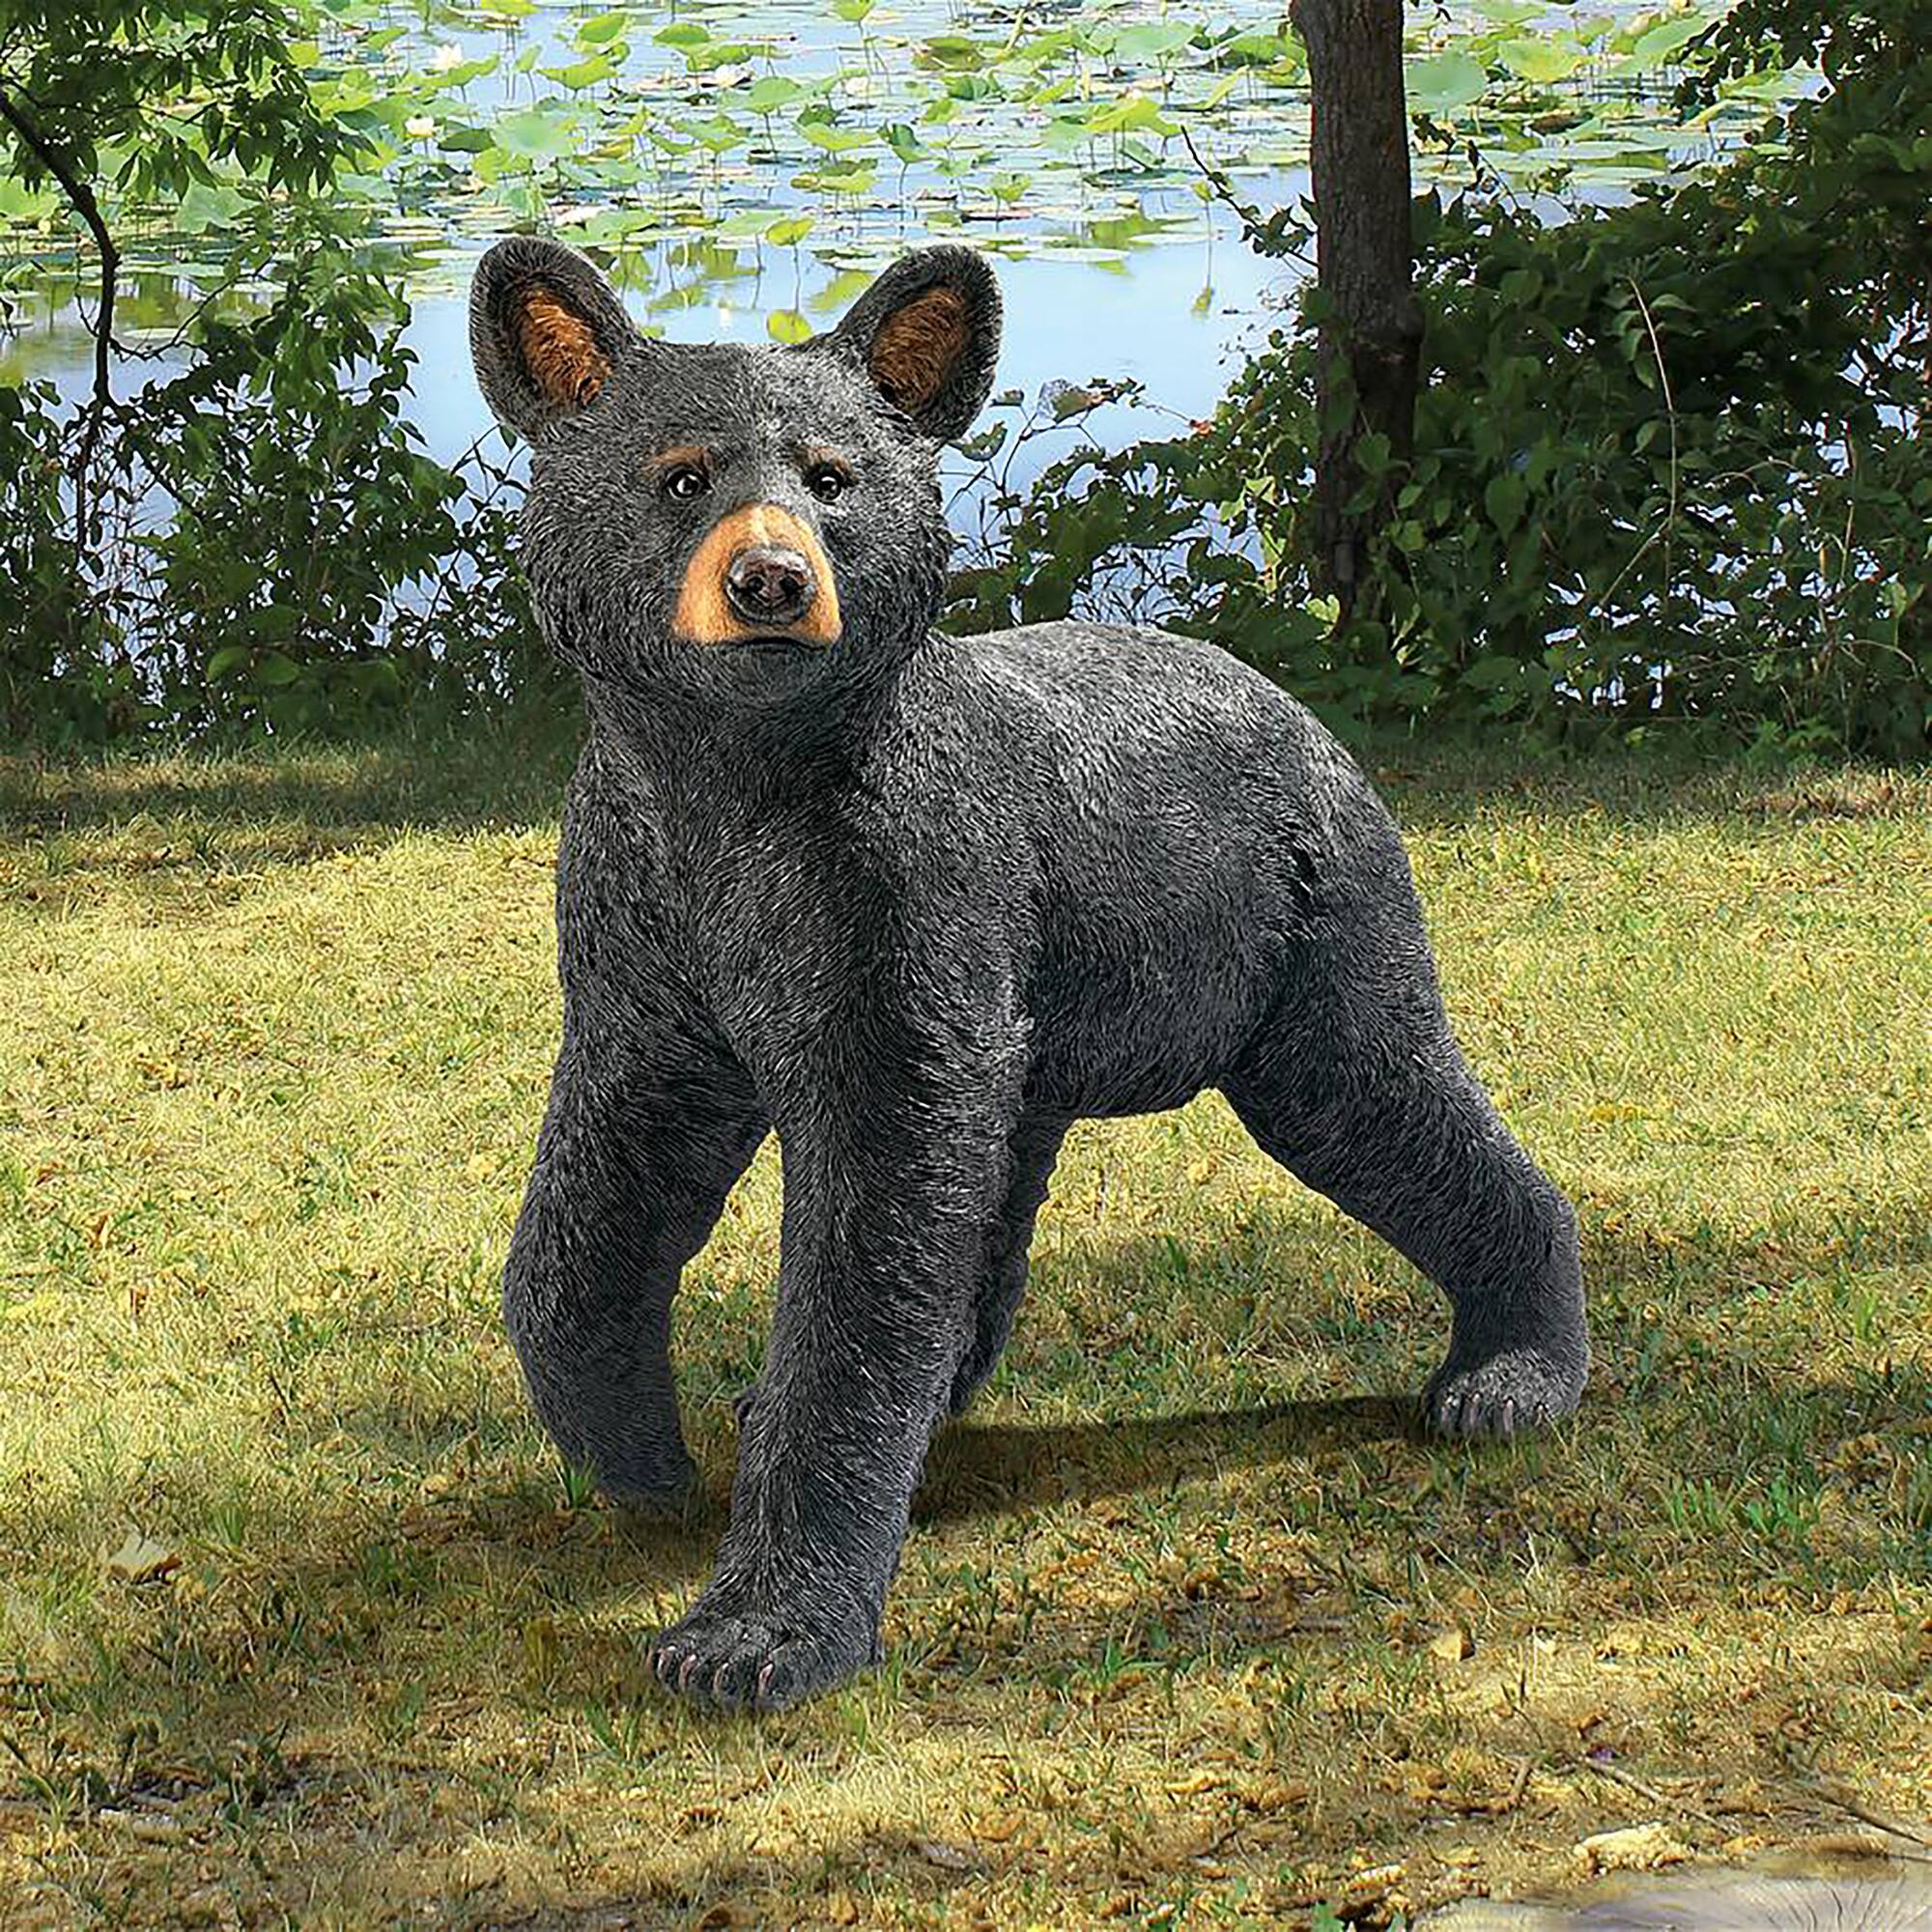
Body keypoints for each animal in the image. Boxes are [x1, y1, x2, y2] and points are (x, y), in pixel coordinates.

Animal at [468, 237, 1588, 1714]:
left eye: (833, 477)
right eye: (683, 474)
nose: (771, 581)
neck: (735, 784)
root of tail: (1291, 698)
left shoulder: (894, 889)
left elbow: (865, 1236)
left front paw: (752, 1633)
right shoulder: (645, 919)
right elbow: (596, 1186)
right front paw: (639, 1452)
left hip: (1305, 930)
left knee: (1378, 1091)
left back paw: (1511, 1370)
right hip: (1057, 1014)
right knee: (1006, 1183)